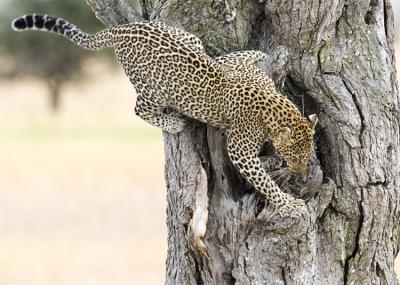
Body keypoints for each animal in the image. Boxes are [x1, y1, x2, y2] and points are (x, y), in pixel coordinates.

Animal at [12, 13, 318, 217]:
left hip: (190, 39)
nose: (300, 171)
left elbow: (234, 57)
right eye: (295, 156)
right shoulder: (239, 149)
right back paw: (172, 122)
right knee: (139, 109)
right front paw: (289, 205)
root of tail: (122, 29)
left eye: (308, 154)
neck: (276, 108)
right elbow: (265, 182)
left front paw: (258, 52)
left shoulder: (233, 66)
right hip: (154, 89)